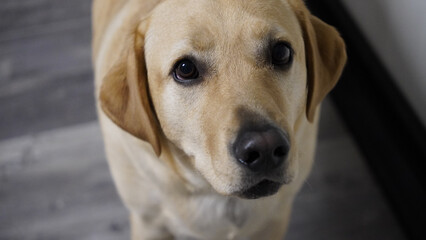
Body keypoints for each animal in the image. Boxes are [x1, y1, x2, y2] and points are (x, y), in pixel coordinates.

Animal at [91, 0, 344, 238]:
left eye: (281, 52)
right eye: (185, 69)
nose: (264, 147)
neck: (216, 195)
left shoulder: (273, 223)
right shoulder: (149, 225)